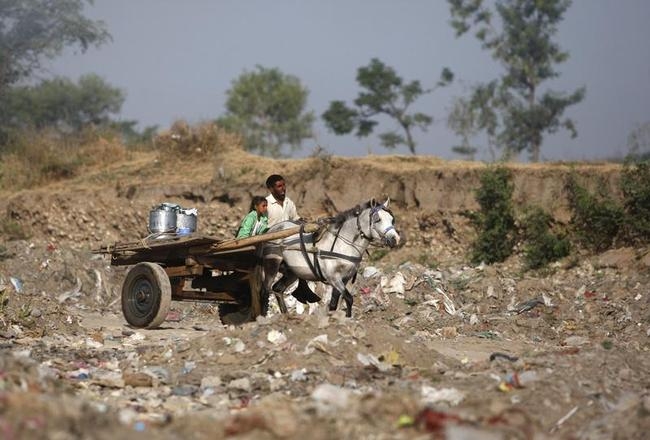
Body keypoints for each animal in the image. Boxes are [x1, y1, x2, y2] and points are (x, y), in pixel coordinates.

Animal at [260, 199, 398, 316]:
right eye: (377, 219)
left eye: (392, 219)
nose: (395, 239)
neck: (343, 244)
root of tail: (272, 229)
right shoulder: (333, 277)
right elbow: (349, 298)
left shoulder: (344, 278)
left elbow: (333, 303)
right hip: (272, 264)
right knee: (265, 290)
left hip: (292, 272)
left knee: (278, 289)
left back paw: (285, 315)